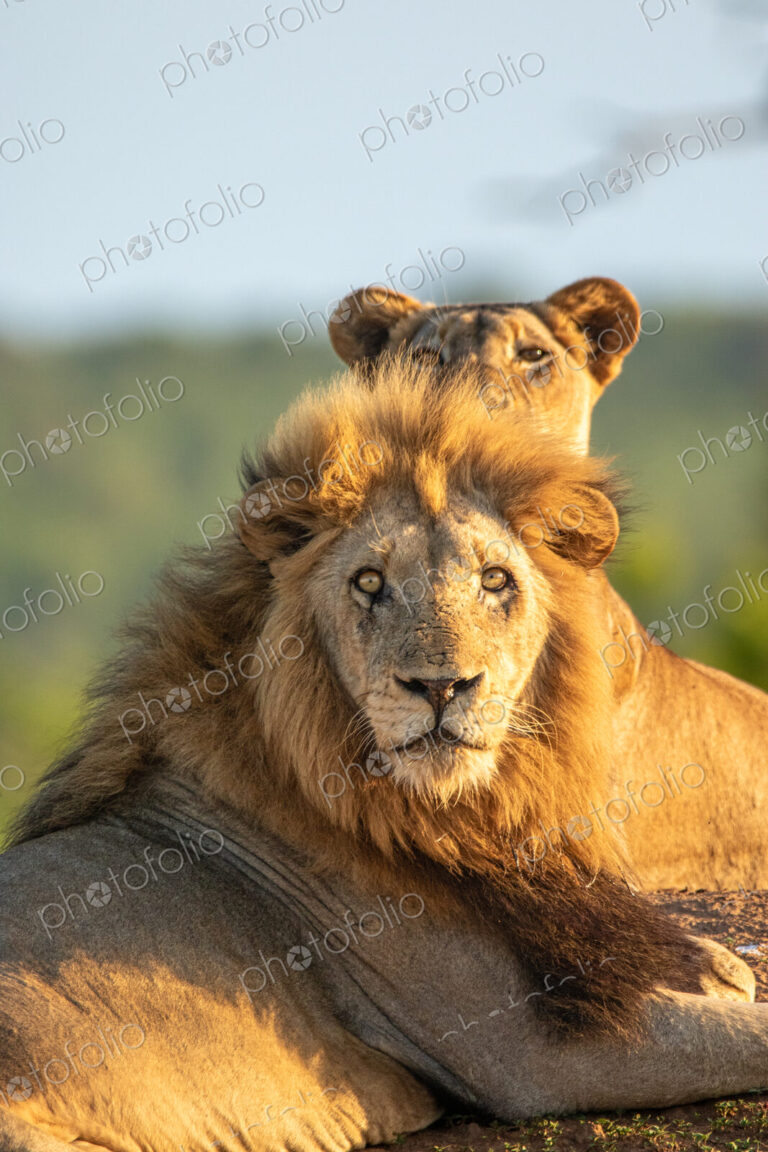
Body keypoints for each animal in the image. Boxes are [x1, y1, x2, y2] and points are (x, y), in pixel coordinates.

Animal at [1, 359, 767, 1152]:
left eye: (495, 579)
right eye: (370, 582)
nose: (441, 686)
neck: (465, 819)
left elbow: (715, 970)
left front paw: (718, 970)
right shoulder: (526, 1050)